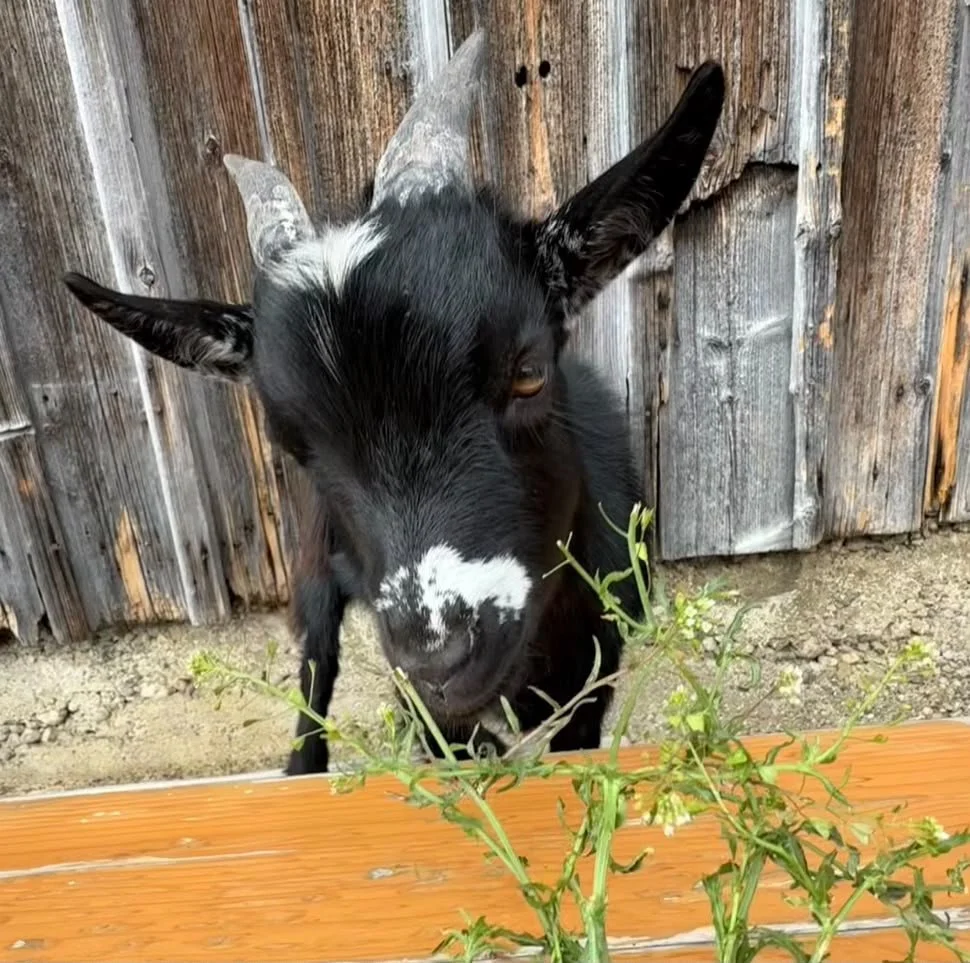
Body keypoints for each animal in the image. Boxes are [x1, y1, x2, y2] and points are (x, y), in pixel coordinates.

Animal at [62, 31, 724, 776]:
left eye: (527, 371)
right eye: (292, 444)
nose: (438, 657)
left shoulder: (599, 664)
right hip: (316, 562)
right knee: (316, 661)